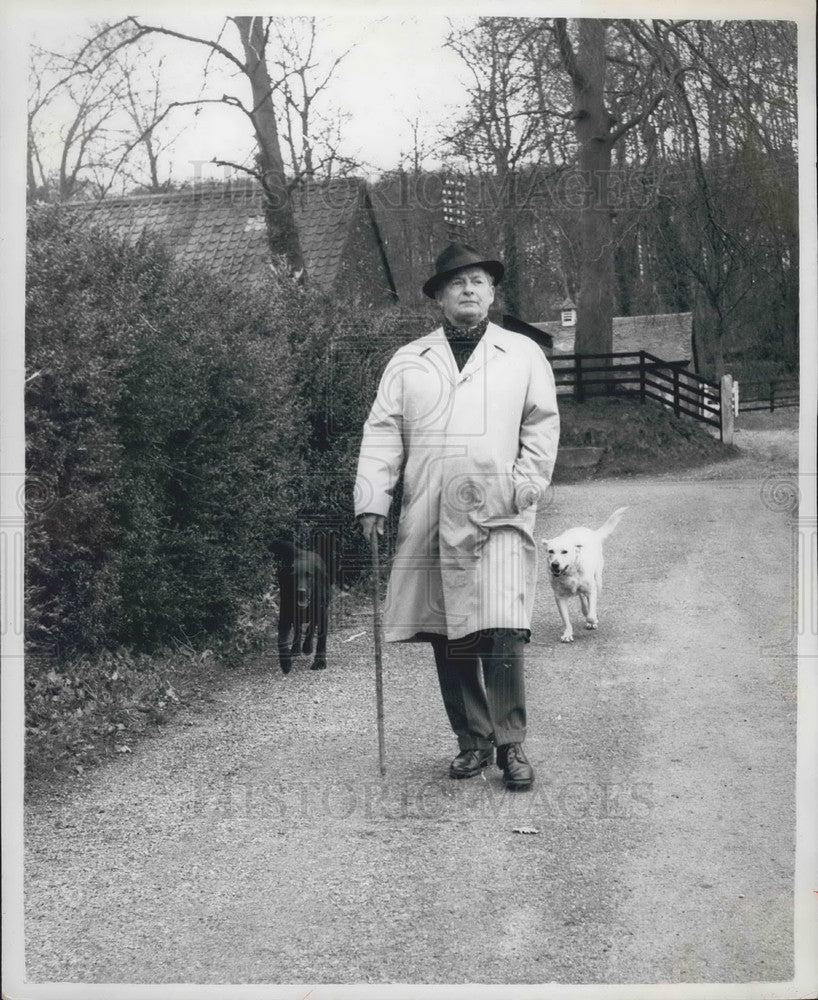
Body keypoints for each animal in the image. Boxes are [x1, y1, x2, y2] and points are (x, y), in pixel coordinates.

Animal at [270, 540, 328, 672]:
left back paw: (307, 647)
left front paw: (320, 661)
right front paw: (285, 663)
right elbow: (281, 641)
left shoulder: (322, 613)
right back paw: (296, 648)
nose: (301, 591)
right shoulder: (285, 616)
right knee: (298, 629)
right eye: (294, 576)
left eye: (309, 576)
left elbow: (320, 639)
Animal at [540, 508, 632, 640]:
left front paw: (592, 621)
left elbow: (591, 615)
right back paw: (584, 608)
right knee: (581, 597)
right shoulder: (559, 597)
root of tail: (592, 532)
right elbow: (565, 619)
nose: (555, 564)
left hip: (598, 581)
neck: (570, 572)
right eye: (550, 551)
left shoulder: (591, 590)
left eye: (565, 552)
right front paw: (567, 634)